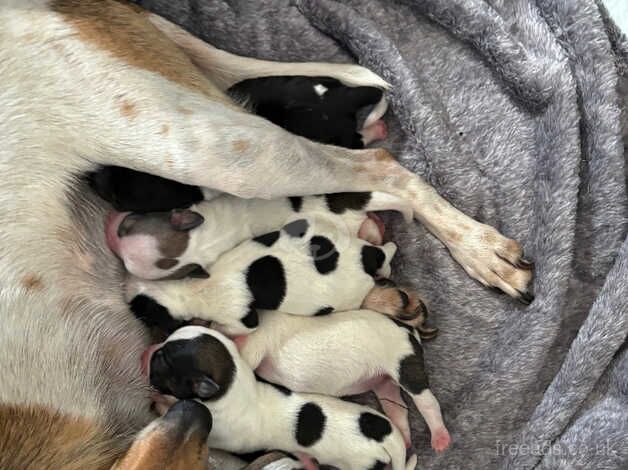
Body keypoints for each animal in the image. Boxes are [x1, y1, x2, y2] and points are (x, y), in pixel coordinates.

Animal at [126, 215, 398, 336]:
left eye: (145, 314)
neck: (188, 289)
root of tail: (363, 262)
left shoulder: (241, 319)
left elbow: (233, 326)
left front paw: (212, 326)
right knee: (380, 252)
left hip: (346, 297)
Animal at [238, 308, 448, 452]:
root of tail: (409, 330)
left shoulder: (259, 341)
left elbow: (246, 356)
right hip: (384, 382)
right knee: (396, 407)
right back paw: (404, 439)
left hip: (404, 364)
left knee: (427, 401)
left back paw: (440, 439)